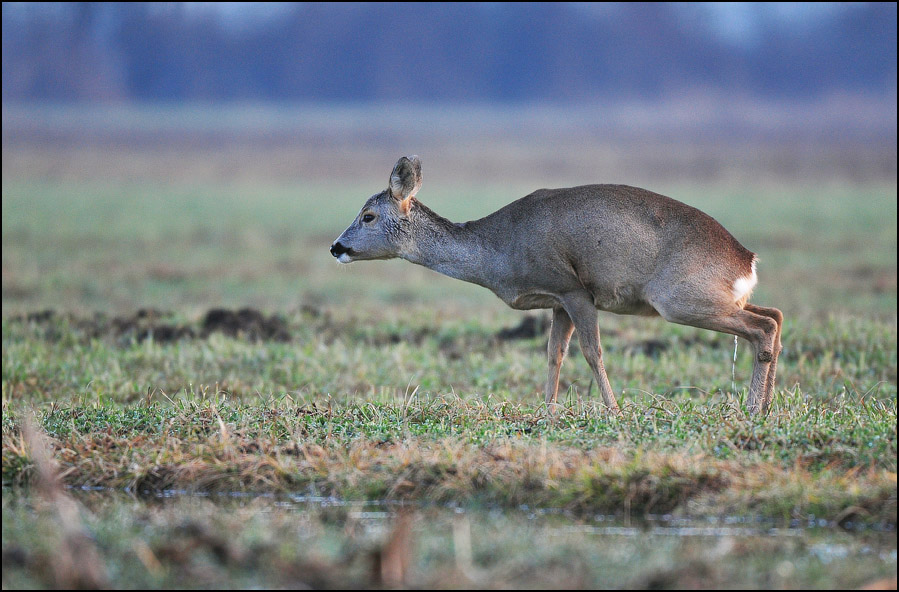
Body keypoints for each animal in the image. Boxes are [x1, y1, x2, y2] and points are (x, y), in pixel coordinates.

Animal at [328, 157, 780, 416]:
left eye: (368, 215)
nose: (336, 247)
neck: (498, 250)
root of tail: (746, 260)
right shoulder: (557, 301)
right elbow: (553, 355)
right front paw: (547, 412)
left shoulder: (574, 290)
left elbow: (592, 352)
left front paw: (613, 411)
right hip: (716, 297)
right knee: (773, 316)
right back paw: (765, 407)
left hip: (679, 298)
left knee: (763, 327)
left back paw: (752, 410)